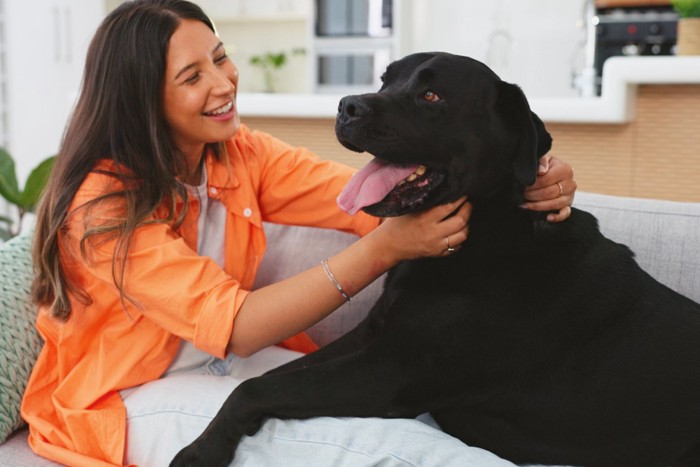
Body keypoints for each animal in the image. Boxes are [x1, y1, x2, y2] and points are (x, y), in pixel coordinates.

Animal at [172, 53, 700, 467]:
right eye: (385, 80)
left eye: (431, 96)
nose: (346, 105)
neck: (488, 228)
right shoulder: (371, 335)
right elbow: (270, 377)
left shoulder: (388, 372)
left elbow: (256, 388)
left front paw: (201, 452)